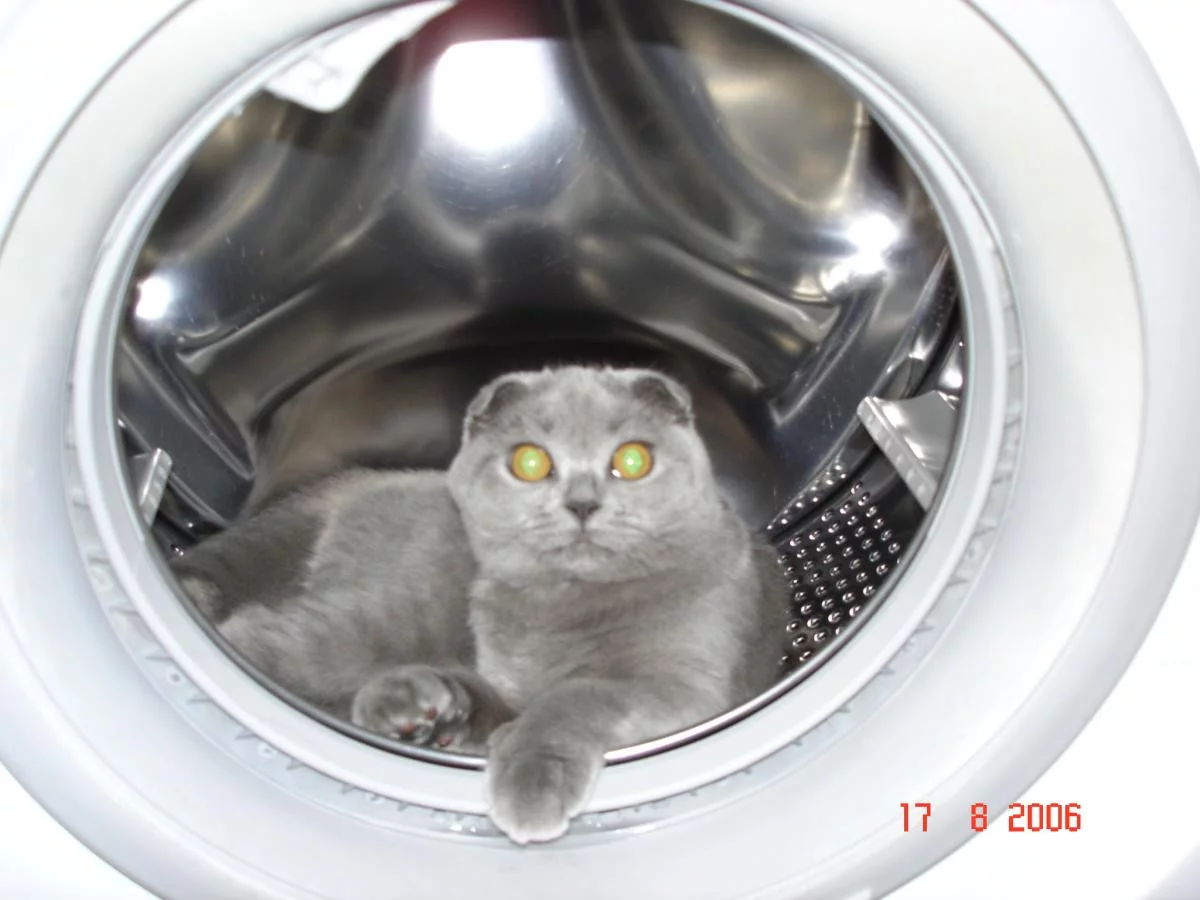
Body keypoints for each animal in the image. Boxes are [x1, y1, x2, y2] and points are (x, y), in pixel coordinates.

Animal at [172, 366, 788, 844]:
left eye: (632, 460)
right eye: (531, 463)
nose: (582, 503)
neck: (561, 605)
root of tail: (356, 482)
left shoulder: (690, 690)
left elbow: (575, 696)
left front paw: (473, 739)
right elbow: (544, 693)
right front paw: (428, 708)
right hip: (389, 611)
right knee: (266, 632)